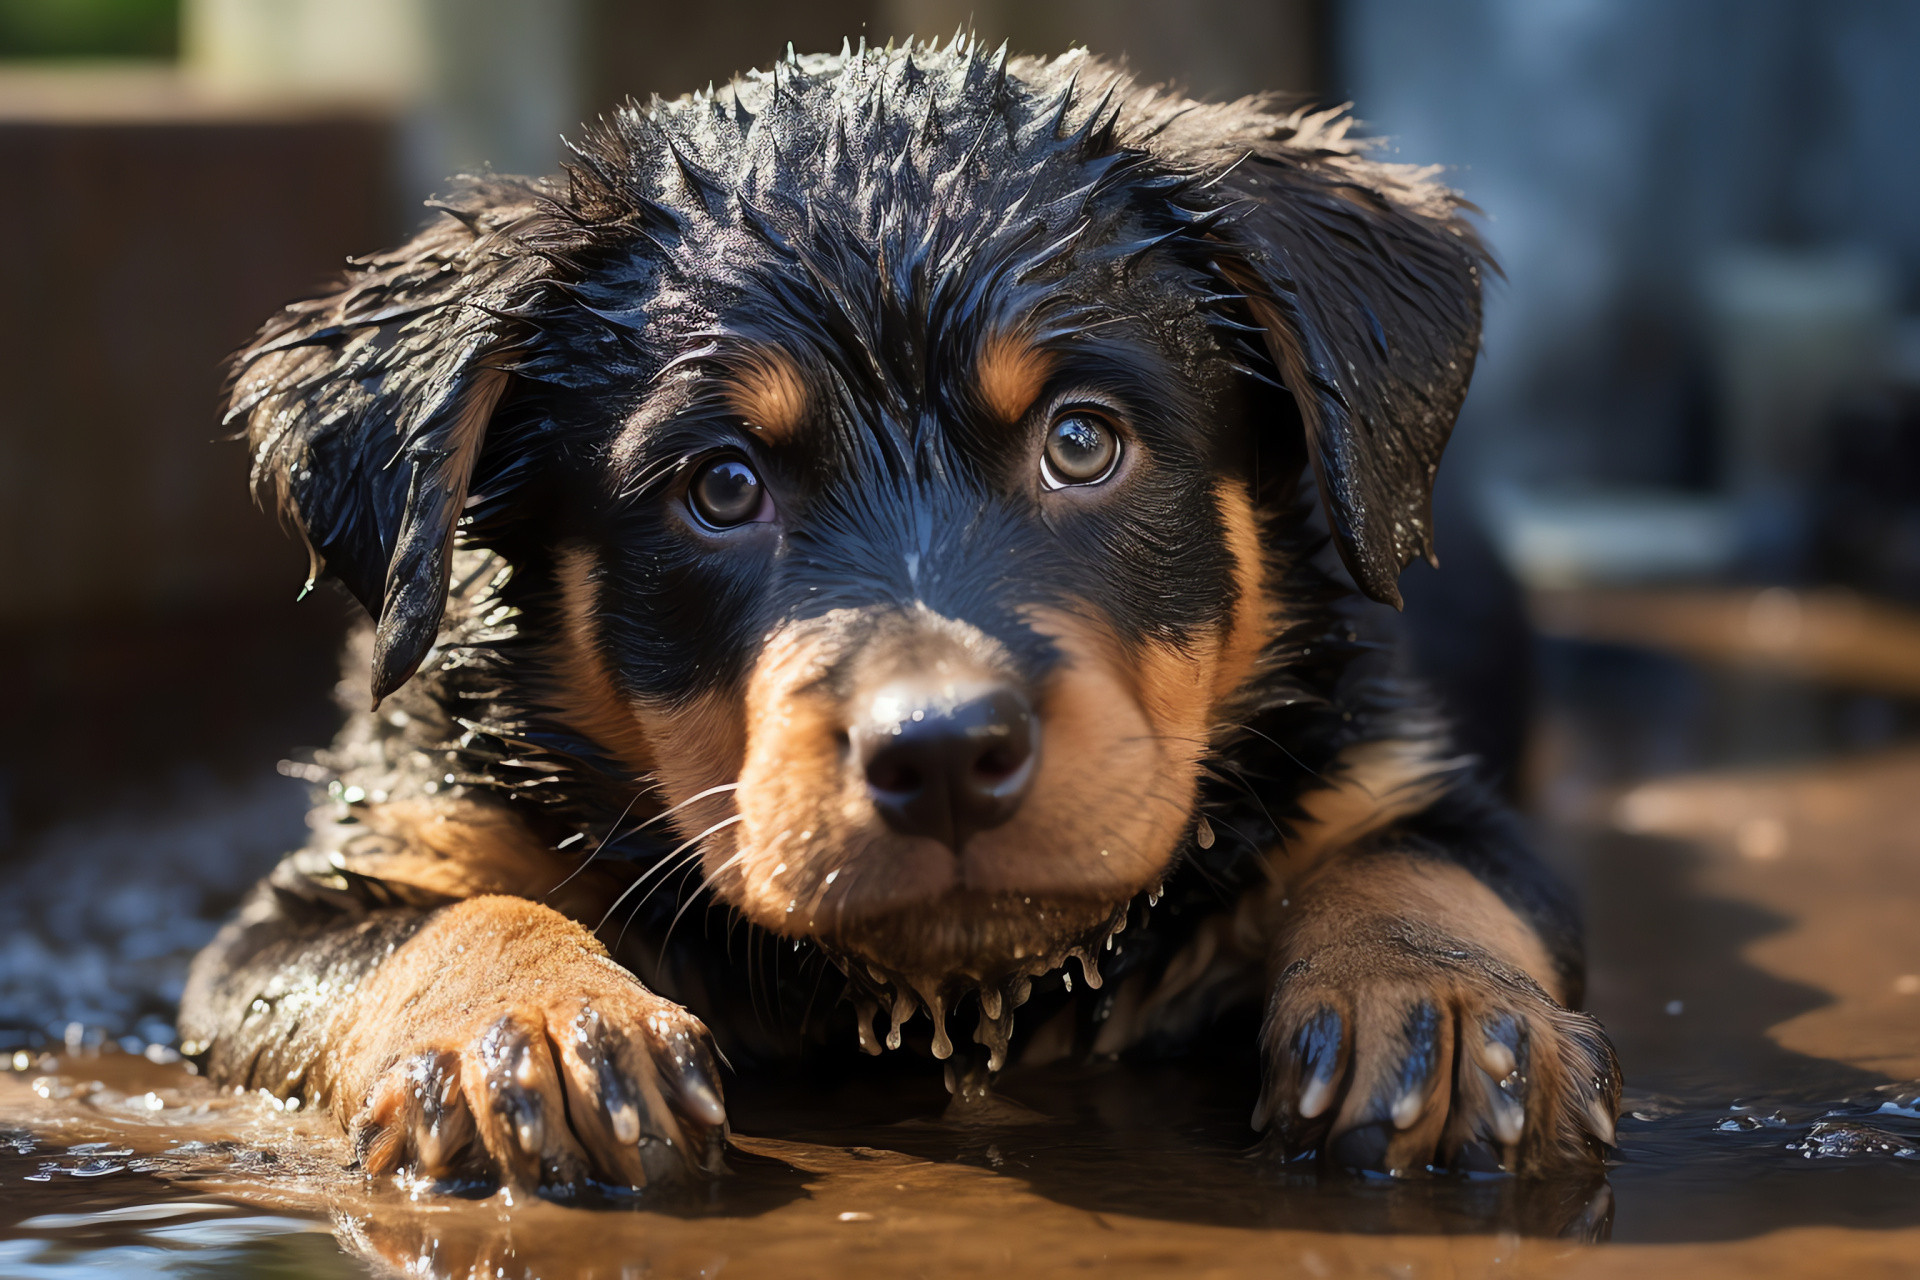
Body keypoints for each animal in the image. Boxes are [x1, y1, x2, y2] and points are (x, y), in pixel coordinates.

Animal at [183, 42, 1620, 1205]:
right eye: (722, 489)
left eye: (1082, 442)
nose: (939, 752)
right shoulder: (344, 876)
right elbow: (439, 923)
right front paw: (532, 1031)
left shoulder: (1389, 765)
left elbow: (1419, 865)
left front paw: (1434, 1007)